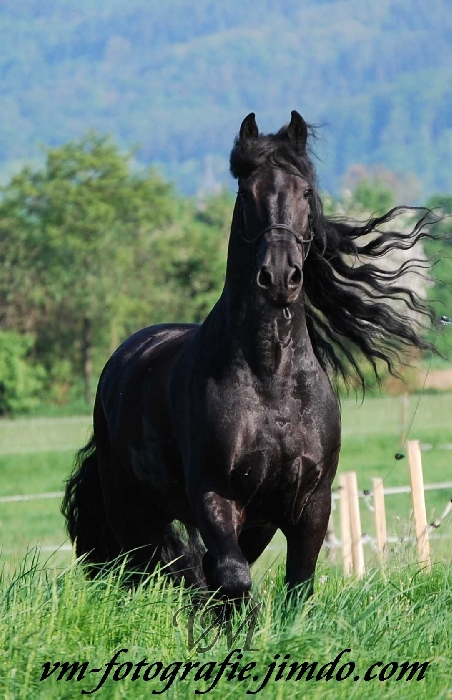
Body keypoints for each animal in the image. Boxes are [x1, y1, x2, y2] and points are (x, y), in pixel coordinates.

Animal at [61, 112, 436, 600]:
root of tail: (124, 358)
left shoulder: (308, 504)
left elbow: (296, 584)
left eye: (305, 192)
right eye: (245, 193)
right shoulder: (216, 497)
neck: (270, 380)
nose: (278, 276)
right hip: (131, 511)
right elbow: (232, 578)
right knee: (145, 570)